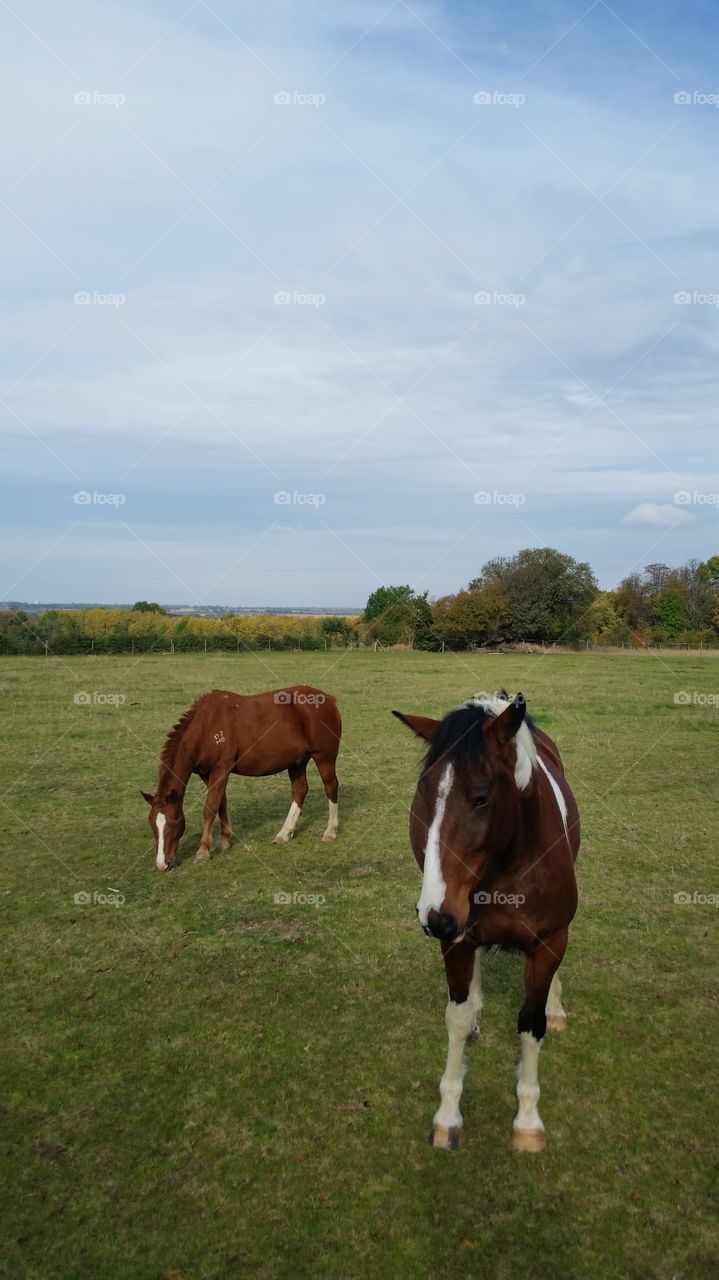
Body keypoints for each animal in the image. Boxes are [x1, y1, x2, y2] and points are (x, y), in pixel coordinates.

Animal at [141, 686, 341, 870]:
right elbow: (221, 803)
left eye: (173, 823)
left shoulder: (221, 769)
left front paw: (203, 851)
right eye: (152, 824)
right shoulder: (207, 774)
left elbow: (210, 808)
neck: (207, 727)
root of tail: (328, 698)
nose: (162, 864)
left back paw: (330, 831)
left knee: (331, 786)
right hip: (297, 762)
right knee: (300, 790)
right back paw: (284, 833)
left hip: (324, 757)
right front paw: (224, 840)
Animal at [393, 690, 579, 1152]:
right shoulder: (455, 938)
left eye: (481, 797)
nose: (434, 914)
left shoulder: (549, 941)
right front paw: (448, 1116)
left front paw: (527, 1120)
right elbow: (457, 1020)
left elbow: (530, 1023)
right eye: (424, 792)